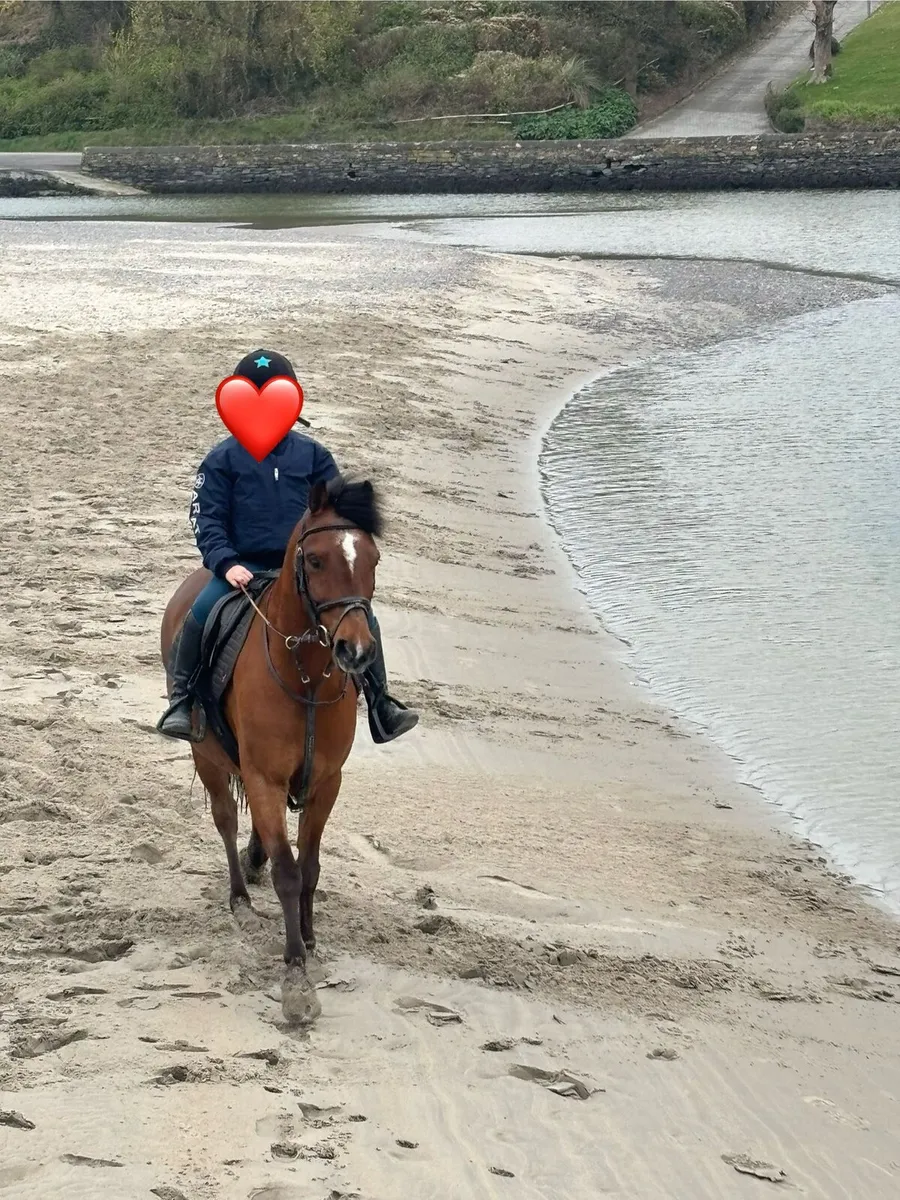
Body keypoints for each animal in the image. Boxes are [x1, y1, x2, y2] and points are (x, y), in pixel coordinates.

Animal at [159, 475, 382, 1024]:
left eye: (373, 559)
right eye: (316, 560)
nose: (355, 651)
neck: (305, 674)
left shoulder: (325, 783)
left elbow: (311, 868)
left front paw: (310, 941)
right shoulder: (264, 778)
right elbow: (287, 872)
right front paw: (296, 975)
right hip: (208, 758)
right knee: (225, 820)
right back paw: (241, 898)